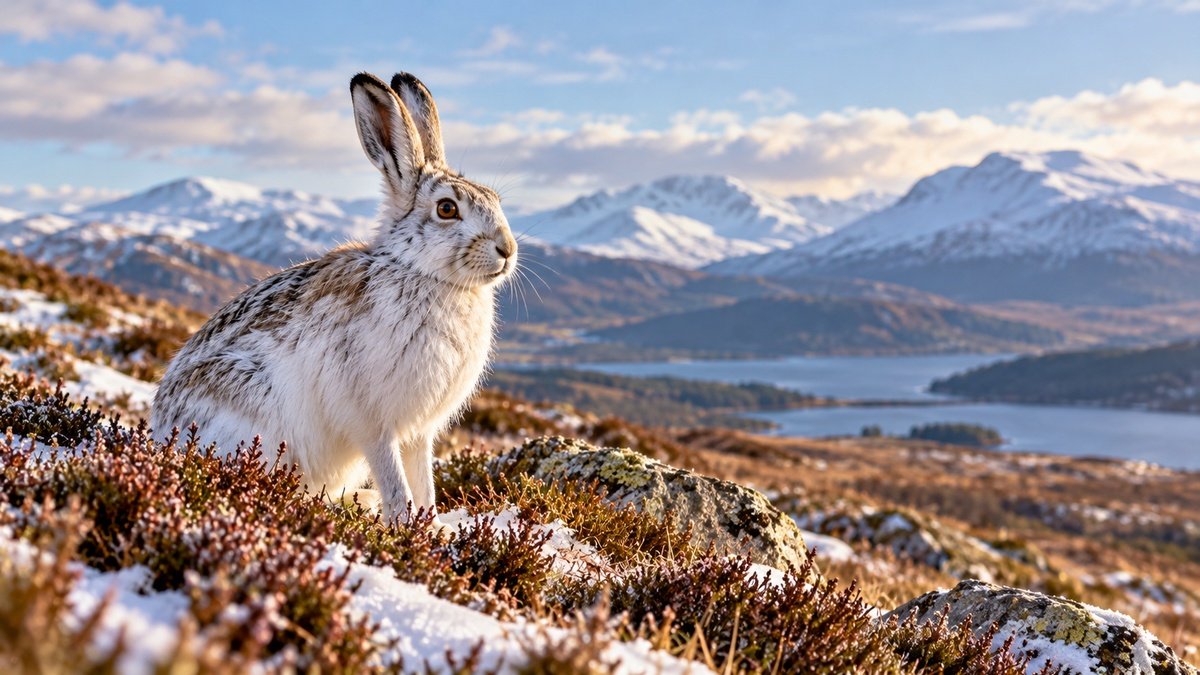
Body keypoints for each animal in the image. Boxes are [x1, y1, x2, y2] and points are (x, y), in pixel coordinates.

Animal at [151, 71, 518, 521]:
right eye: (447, 209)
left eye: (495, 199)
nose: (507, 249)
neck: (422, 272)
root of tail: (160, 435)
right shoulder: (372, 421)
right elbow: (395, 481)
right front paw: (403, 524)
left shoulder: (419, 432)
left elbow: (423, 481)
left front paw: (431, 525)